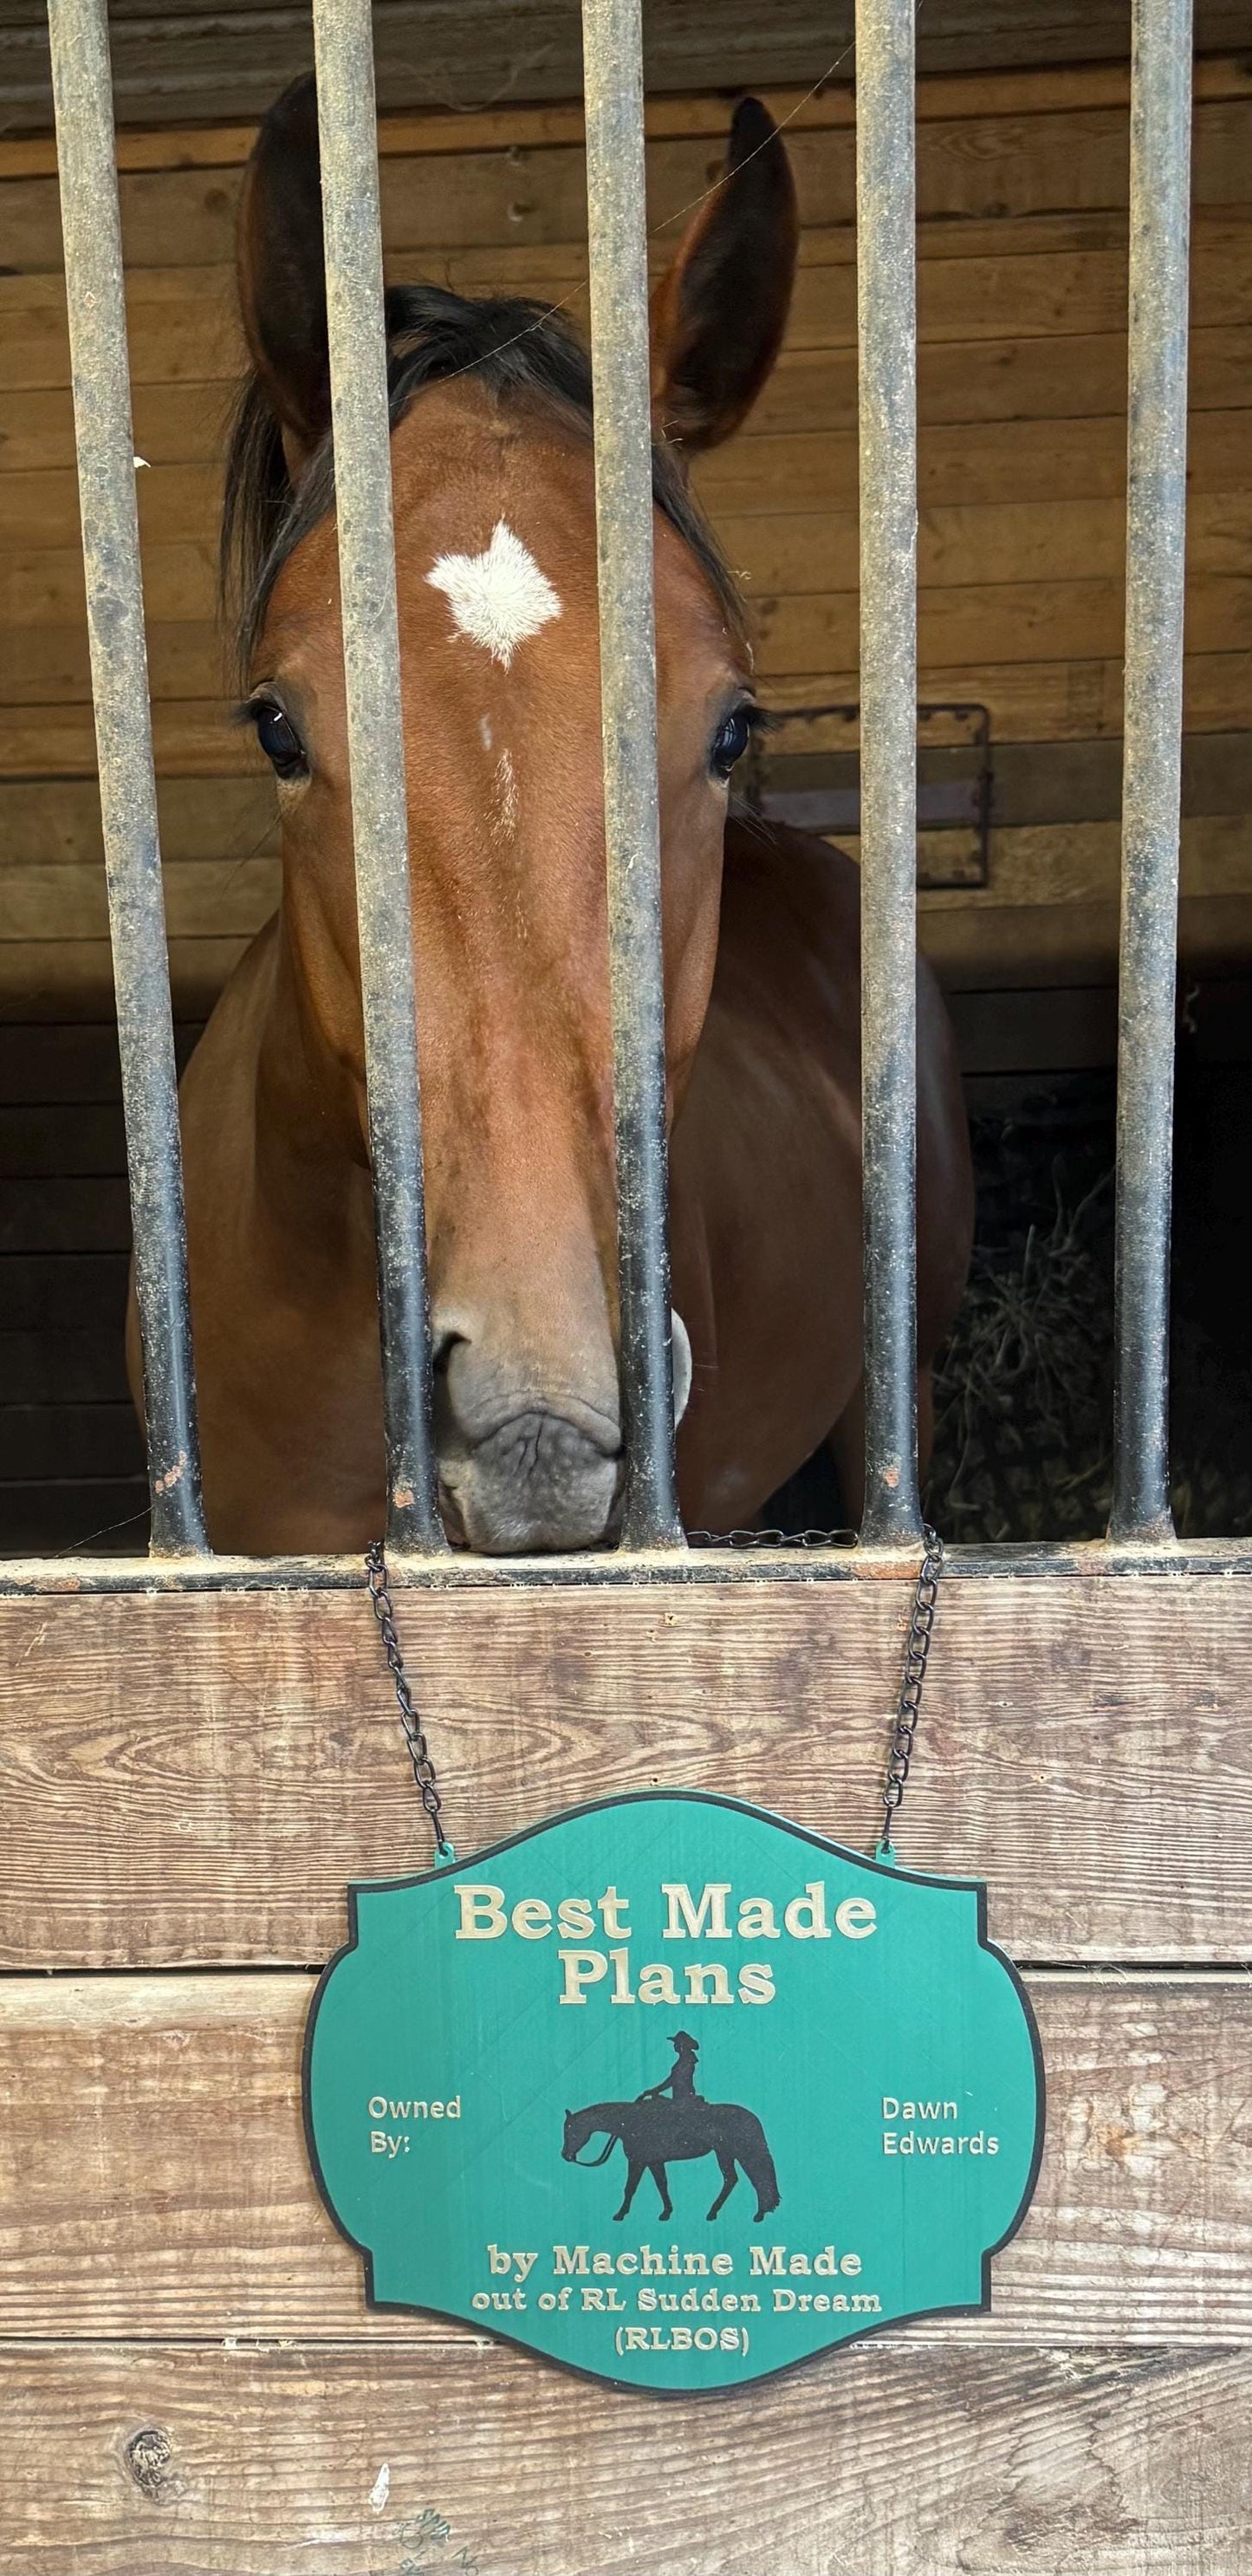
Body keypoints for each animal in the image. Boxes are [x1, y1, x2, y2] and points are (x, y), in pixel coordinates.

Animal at [562, 2096, 781, 2224]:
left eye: (572, 2131)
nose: (566, 2156)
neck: (631, 2122)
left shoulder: (638, 2162)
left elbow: (630, 2188)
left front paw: (620, 2214)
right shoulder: (654, 2162)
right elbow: (662, 2185)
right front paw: (666, 2212)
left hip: (740, 2153)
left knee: (757, 2180)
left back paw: (758, 2214)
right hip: (725, 2153)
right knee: (732, 2179)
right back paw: (714, 2213)